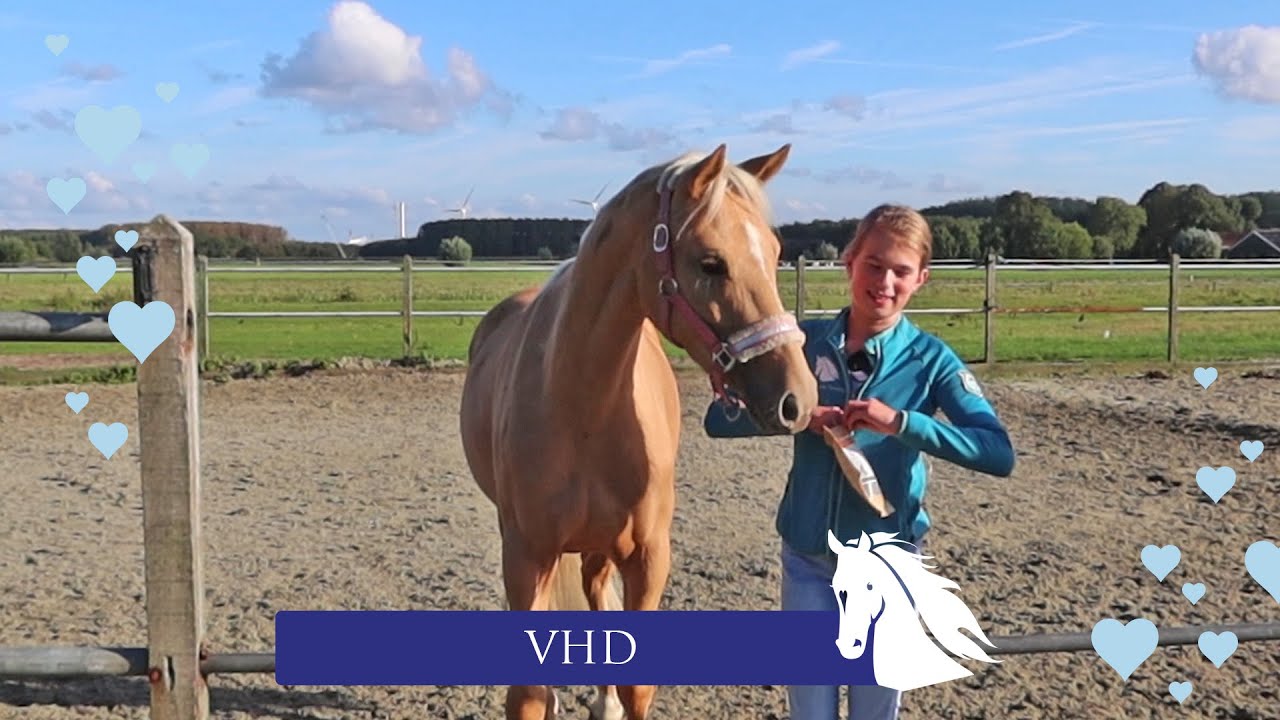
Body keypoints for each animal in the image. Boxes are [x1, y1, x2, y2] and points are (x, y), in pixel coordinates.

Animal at [459, 143, 820, 719]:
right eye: (711, 262)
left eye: (773, 251)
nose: (798, 399)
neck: (582, 408)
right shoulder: (525, 554)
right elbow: (528, 691)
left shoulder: (648, 556)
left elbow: (636, 684)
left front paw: (613, 700)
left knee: (593, 588)